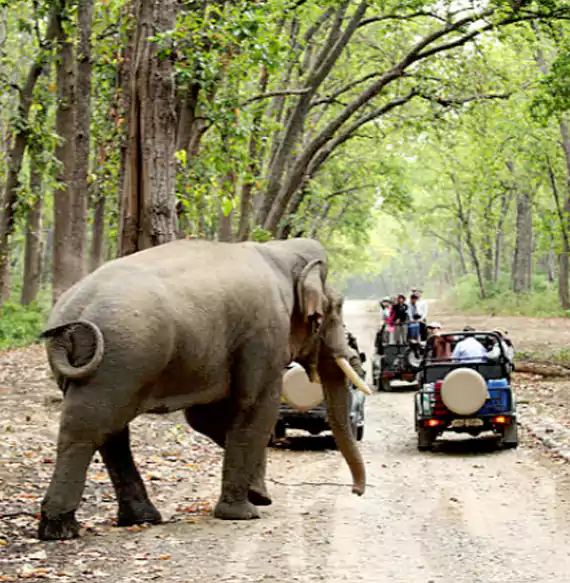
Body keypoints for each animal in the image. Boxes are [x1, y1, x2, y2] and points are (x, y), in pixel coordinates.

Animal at [36, 237, 368, 544]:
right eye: (337, 308)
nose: (356, 491)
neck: (279, 252)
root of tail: (71, 313)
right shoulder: (265, 332)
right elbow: (257, 406)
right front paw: (245, 512)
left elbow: (204, 417)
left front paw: (258, 494)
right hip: (122, 359)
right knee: (90, 429)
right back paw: (60, 530)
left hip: (112, 366)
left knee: (110, 432)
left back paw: (140, 518)